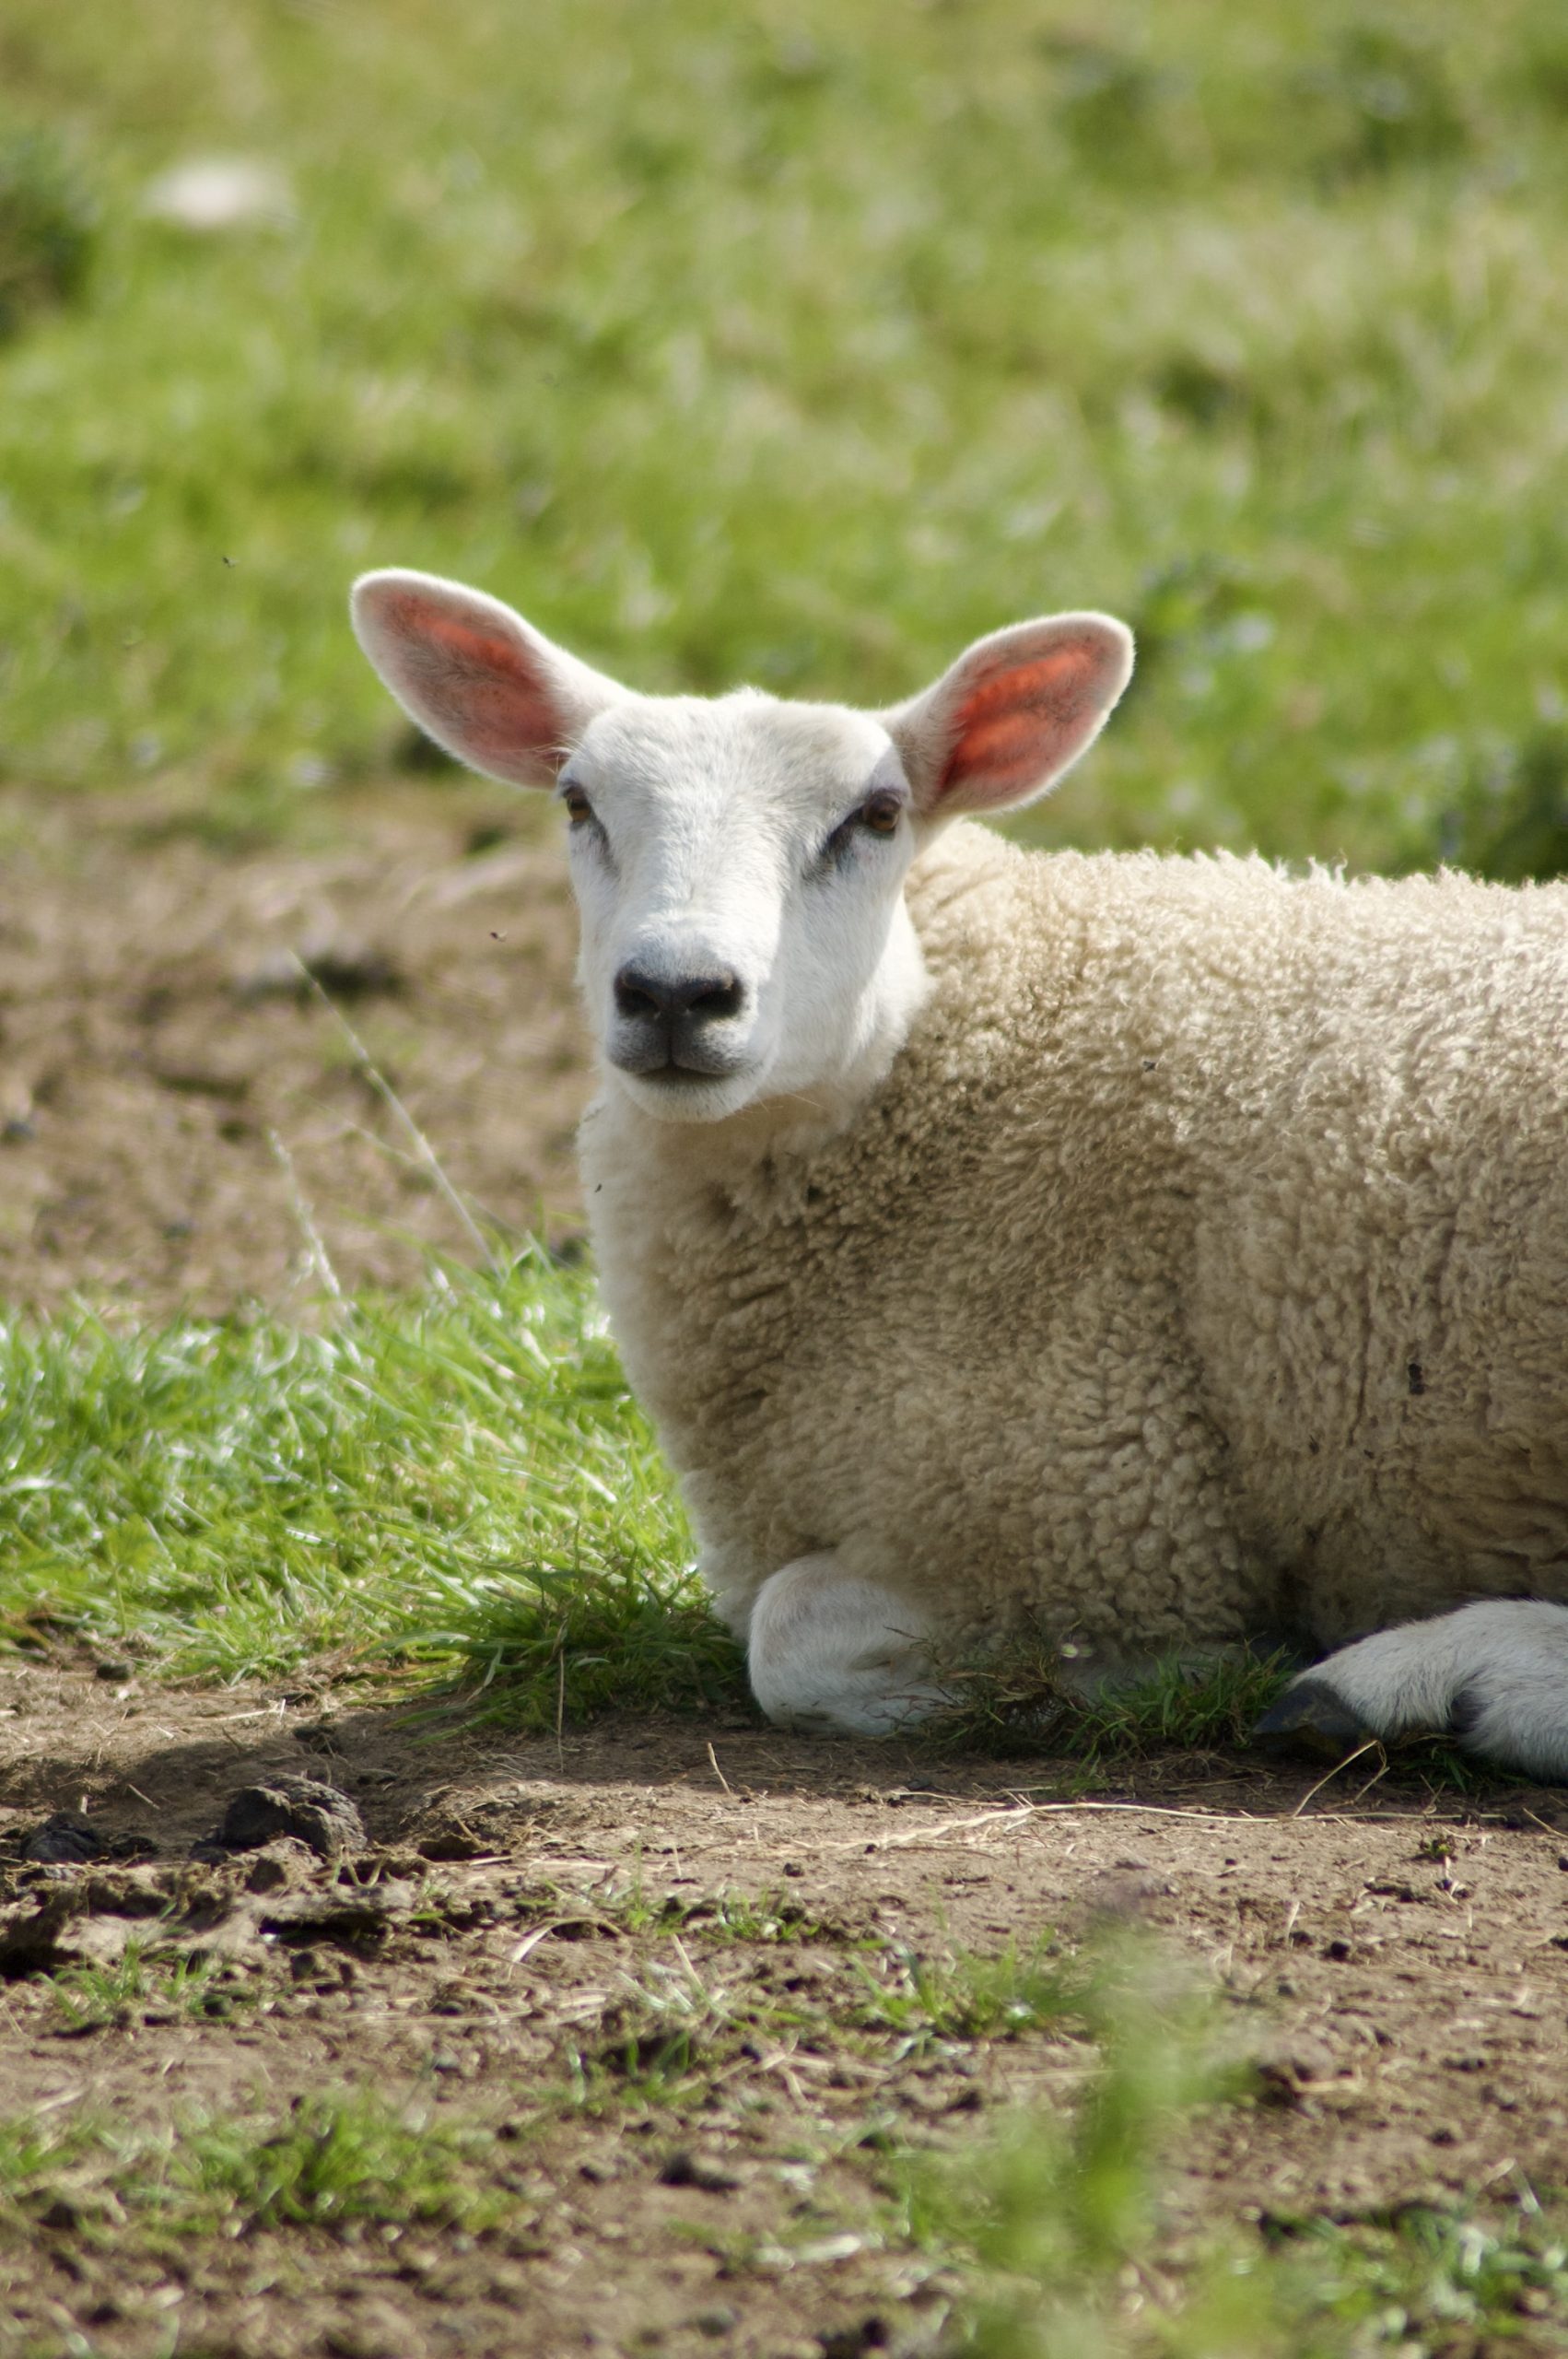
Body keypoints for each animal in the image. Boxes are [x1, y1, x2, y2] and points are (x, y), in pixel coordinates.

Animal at [351, 568, 1568, 1779]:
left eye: (876, 816)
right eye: (578, 804)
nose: (675, 992)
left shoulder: (1099, 1509)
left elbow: (788, 1637)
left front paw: (1172, 1672)